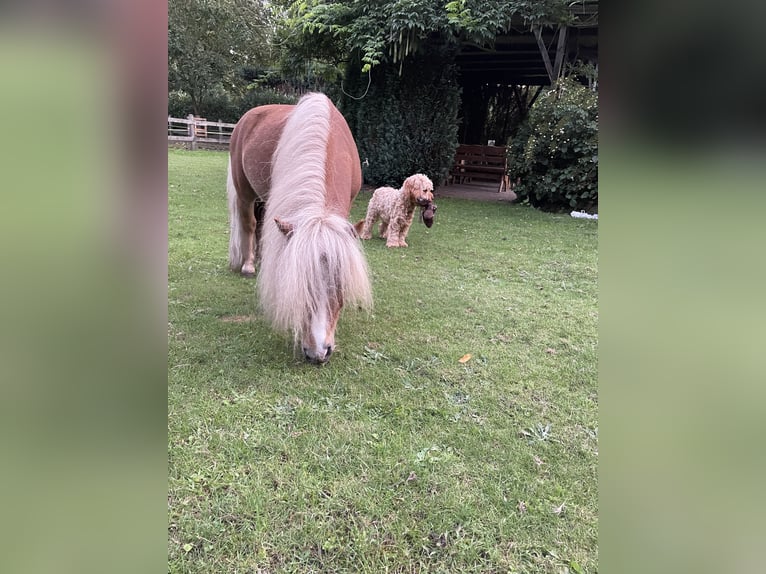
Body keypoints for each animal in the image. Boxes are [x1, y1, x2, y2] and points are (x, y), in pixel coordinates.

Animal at [228, 94, 372, 364]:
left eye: (341, 286)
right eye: (300, 287)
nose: (318, 352)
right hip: (245, 192)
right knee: (250, 224)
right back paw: (249, 264)